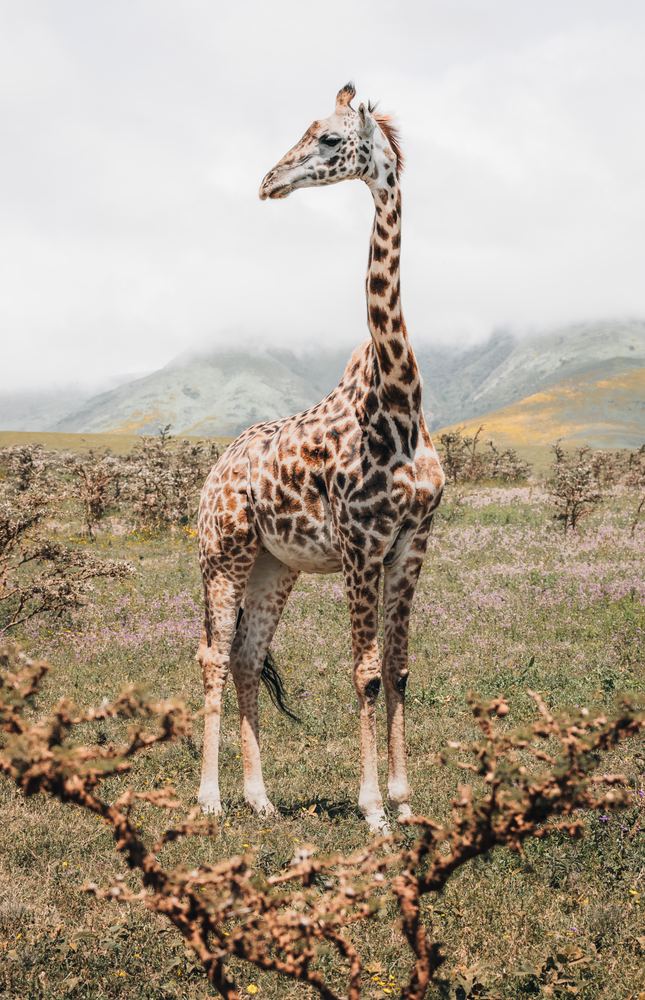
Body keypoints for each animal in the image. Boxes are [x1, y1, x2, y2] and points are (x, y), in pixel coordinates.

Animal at [196, 83, 444, 833]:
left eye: (330, 140)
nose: (268, 181)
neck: (399, 404)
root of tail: (211, 476)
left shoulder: (411, 544)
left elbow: (398, 668)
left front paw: (405, 800)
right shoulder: (362, 548)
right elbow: (364, 672)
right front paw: (372, 810)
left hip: (273, 566)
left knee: (246, 658)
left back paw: (260, 799)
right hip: (223, 555)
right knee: (211, 655)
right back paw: (209, 799)